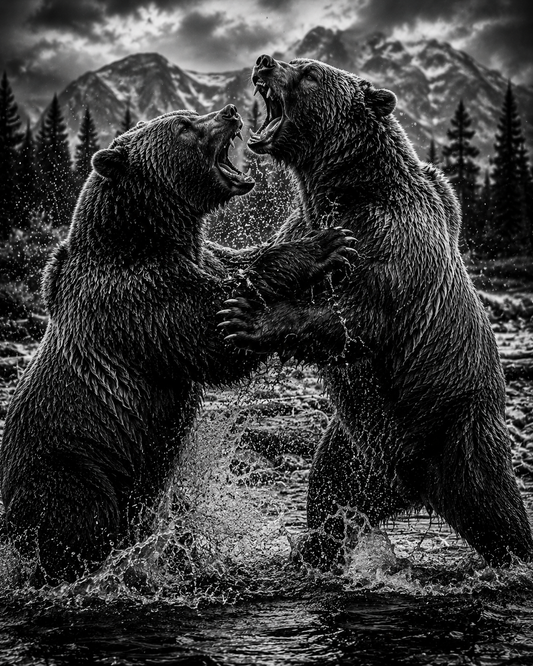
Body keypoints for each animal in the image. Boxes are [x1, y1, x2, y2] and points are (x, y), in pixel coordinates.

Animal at [0, 104, 352, 584]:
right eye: (184, 125)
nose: (230, 110)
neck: (148, 235)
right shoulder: (135, 300)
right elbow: (210, 327)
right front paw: (322, 245)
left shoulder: (202, 256)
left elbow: (234, 264)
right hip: (70, 466)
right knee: (80, 521)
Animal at [219, 55, 533, 568]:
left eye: (308, 71)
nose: (264, 61)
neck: (342, 185)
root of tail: (417, 488)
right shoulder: (306, 220)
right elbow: (278, 262)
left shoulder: (392, 241)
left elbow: (358, 317)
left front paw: (248, 320)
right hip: (357, 448)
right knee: (329, 495)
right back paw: (312, 551)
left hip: (461, 431)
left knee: (500, 513)